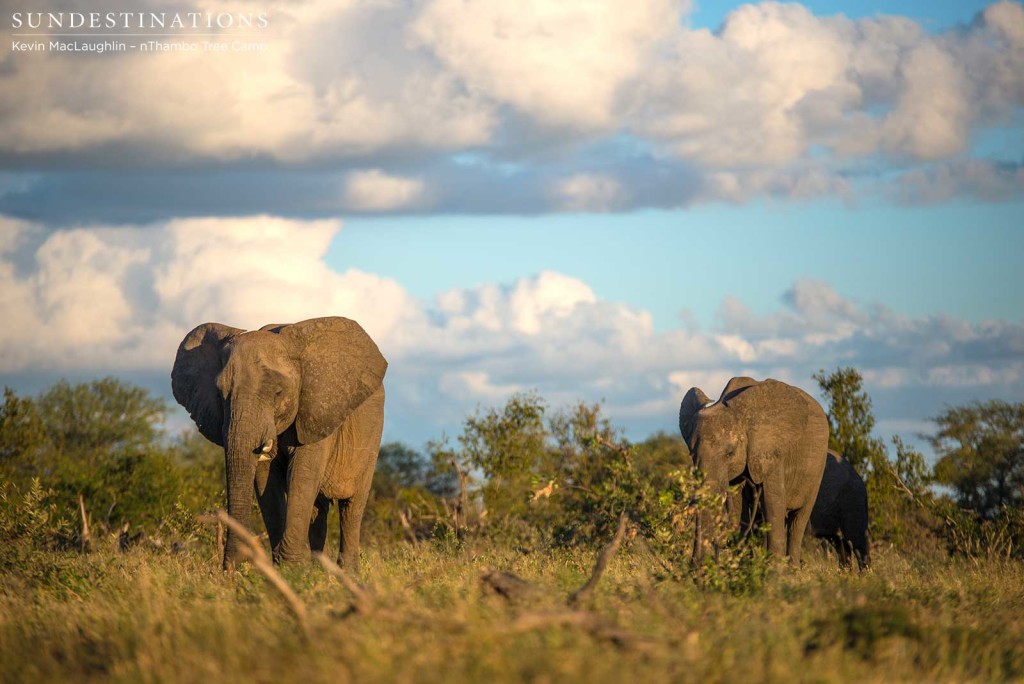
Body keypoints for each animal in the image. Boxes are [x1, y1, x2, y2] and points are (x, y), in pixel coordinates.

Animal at [172, 317, 387, 569]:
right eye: (219, 394)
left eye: (277, 393)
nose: (232, 569)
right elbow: (266, 478)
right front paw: (285, 569)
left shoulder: (317, 410)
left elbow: (302, 474)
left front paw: (291, 568)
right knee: (318, 509)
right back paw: (321, 569)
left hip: (371, 439)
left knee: (351, 507)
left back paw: (346, 572)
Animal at [679, 376, 831, 565]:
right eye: (692, 454)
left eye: (730, 453)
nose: (697, 564)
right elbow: (738, 507)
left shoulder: (772, 453)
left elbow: (773, 504)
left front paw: (775, 569)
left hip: (817, 468)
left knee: (798, 521)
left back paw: (793, 567)